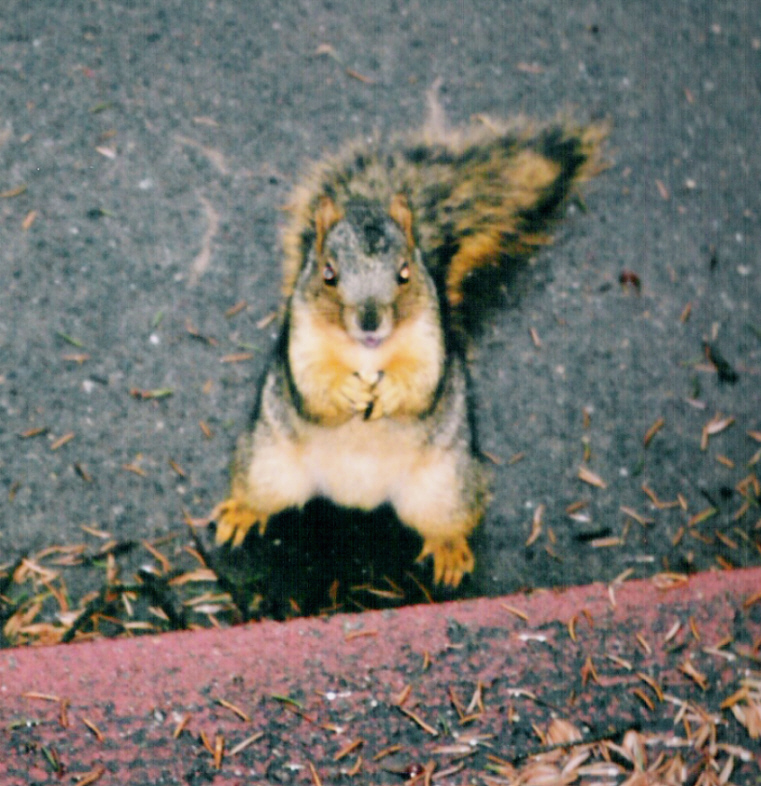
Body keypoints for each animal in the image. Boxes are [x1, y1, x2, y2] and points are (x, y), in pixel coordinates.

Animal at [211, 104, 606, 587]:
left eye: (404, 272)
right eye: (328, 273)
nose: (370, 320)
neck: (366, 353)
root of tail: (357, 498)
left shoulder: (429, 343)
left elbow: (419, 383)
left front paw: (390, 392)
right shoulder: (301, 343)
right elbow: (315, 386)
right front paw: (347, 390)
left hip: (446, 488)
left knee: (450, 521)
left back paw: (450, 552)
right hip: (267, 465)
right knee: (258, 491)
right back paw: (241, 513)